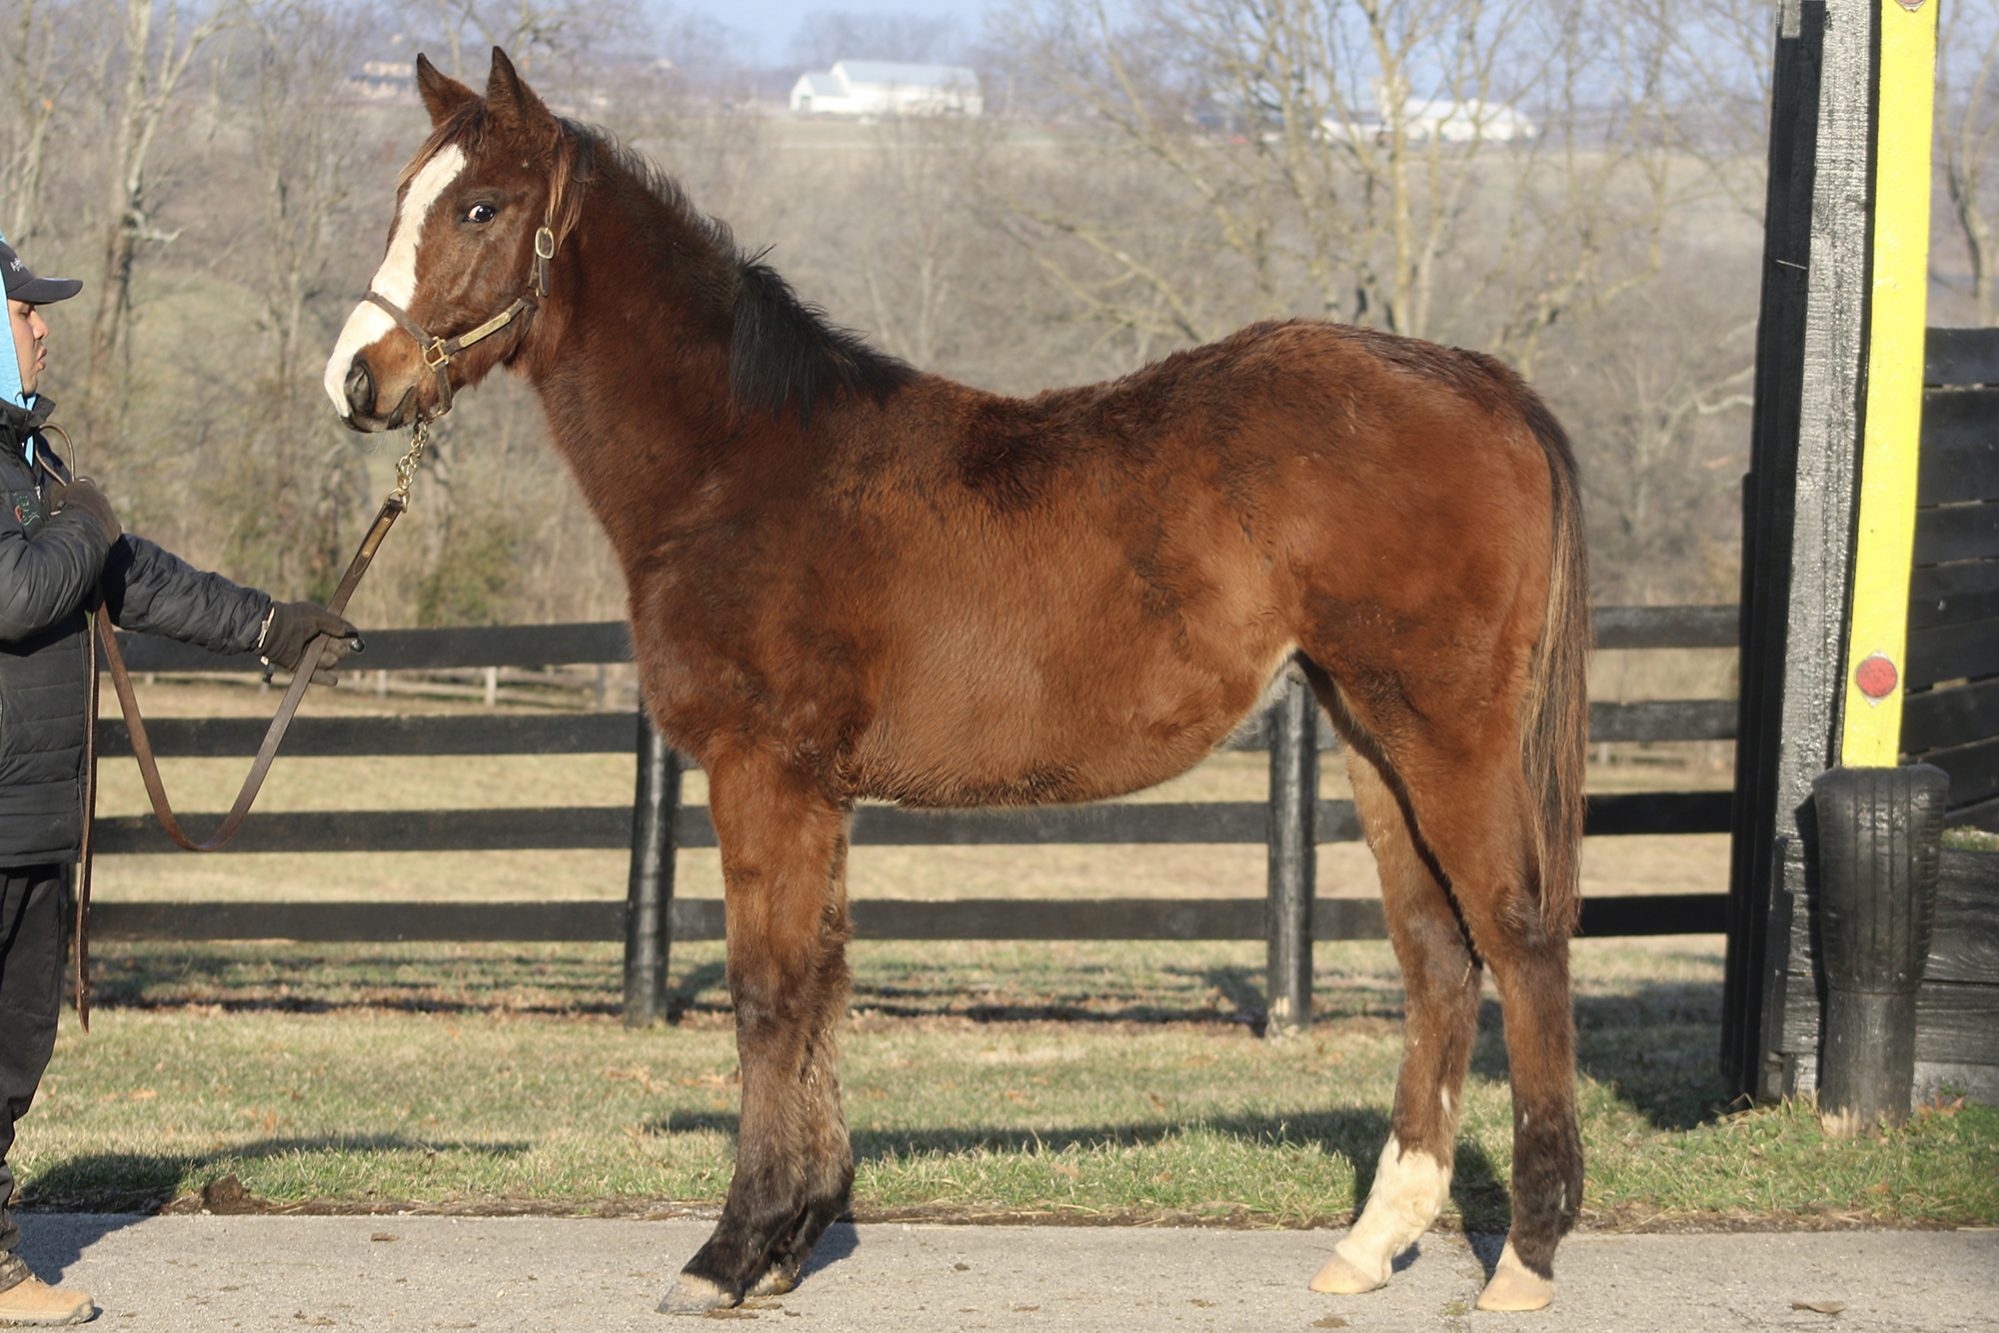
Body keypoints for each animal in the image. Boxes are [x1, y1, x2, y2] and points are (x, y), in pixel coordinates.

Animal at [322, 48, 1591, 1317]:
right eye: (400, 198)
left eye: (480, 208)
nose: (358, 380)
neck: (737, 465)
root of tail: (1482, 383)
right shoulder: (817, 789)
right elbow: (824, 981)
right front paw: (797, 1228)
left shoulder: (761, 769)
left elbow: (767, 990)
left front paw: (730, 1248)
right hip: (1369, 733)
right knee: (1437, 954)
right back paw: (1374, 1239)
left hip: (1446, 731)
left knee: (1519, 937)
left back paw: (1525, 1256)